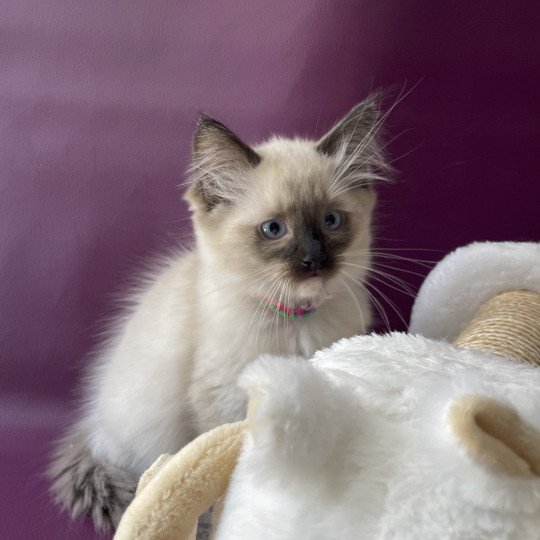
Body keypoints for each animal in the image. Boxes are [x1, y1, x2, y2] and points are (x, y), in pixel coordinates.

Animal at [48, 94, 390, 532]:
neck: (296, 320)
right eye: (274, 229)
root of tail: (92, 424)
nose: (314, 261)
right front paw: (225, 519)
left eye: (331, 221)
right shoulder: (225, 401)